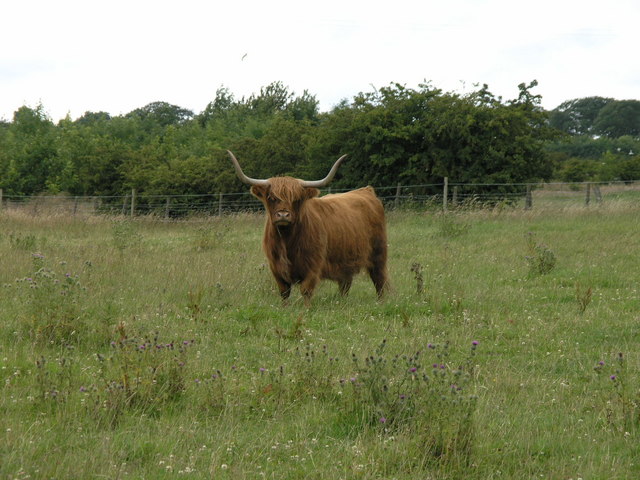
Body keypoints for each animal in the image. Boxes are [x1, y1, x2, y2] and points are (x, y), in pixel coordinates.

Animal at [230, 152, 390, 306]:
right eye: (271, 198)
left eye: (296, 199)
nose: (283, 215)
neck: (286, 241)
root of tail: (366, 190)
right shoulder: (275, 266)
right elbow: (284, 292)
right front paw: (285, 308)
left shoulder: (313, 265)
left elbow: (306, 290)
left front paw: (306, 309)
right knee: (345, 283)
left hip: (378, 253)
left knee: (379, 279)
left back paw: (381, 303)